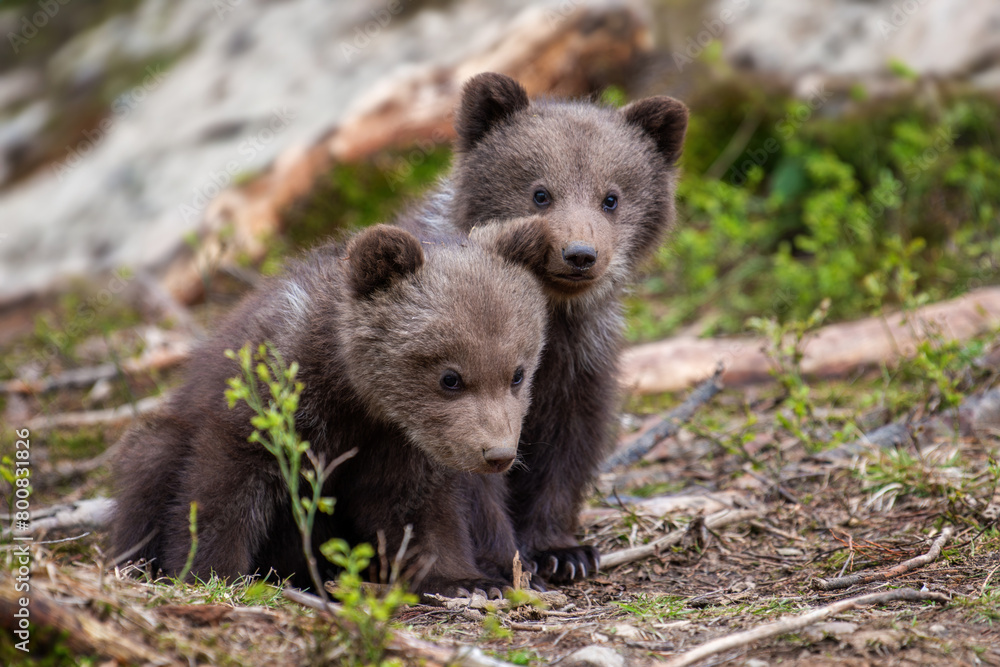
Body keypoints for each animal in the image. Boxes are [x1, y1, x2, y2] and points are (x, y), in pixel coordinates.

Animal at [110, 219, 553, 595]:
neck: (359, 397)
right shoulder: (273, 400)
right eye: (450, 377)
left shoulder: (405, 444)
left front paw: (467, 581)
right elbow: (222, 490)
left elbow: (417, 509)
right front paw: (212, 573)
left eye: (517, 373)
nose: (497, 454)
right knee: (149, 465)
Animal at [397, 72, 689, 585]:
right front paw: (509, 562)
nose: (579, 254)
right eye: (540, 192)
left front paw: (563, 552)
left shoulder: (578, 365)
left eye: (611, 198)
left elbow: (567, 452)